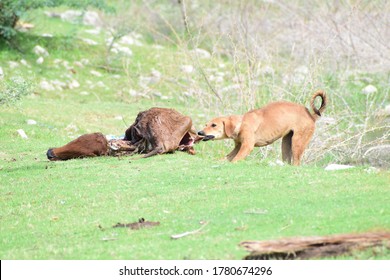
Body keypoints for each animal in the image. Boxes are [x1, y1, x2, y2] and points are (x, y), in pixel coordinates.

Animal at [197, 89, 328, 165]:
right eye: (206, 124)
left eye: (214, 125)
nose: (200, 132)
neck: (241, 123)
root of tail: (311, 116)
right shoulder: (238, 146)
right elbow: (227, 158)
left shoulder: (247, 146)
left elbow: (235, 160)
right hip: (286, 143)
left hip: (297, 143)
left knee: (296, 162)